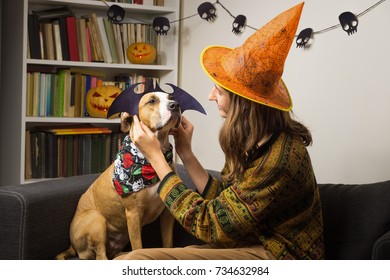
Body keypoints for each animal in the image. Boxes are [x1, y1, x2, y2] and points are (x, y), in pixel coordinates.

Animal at [55, 92, 180, 260]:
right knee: (101, 256)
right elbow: (138, 247)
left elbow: (168, 243)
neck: (152, 159)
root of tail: (72, 247)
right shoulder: (133, 214)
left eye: (170, 97)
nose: (175, 105)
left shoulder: (167, 213)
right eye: (152, 100)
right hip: (96, 220)